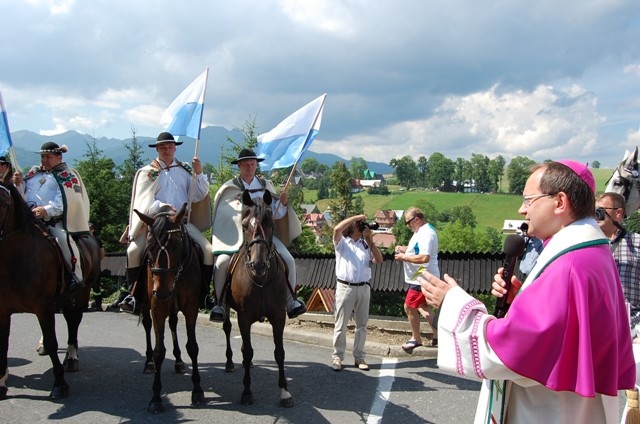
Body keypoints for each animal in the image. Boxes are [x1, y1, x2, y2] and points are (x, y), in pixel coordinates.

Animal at [0, 184, 100, 400]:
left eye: (4, 202)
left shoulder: (43, 307)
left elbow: (53, 342)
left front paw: (60, 384)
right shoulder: (3, 310)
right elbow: (3, 344)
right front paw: (2, 384)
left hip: (82, 293)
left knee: (74, 321)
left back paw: (71, 358)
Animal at [134, 204, 204, 412]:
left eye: (177, 245)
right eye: (150, 246)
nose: (163, 291)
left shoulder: (191, 307)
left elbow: (192, 346)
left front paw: (197, 390)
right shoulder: (157, 307)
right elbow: (159, 351)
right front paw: (156, 397)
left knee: (172, 324)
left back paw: (179, 362)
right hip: (147, 303)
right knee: (147, 325)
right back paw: (148, 363)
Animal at [221, 190, 294, 408]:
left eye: (271, 224)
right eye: (245, 225)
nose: (258, 264)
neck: (261, 280)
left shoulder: (278, 317)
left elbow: (279, 353)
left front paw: (285, 392)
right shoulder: (244, 318)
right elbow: (247, 351)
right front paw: (246, 391)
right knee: (227, 328)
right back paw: (229, 363)